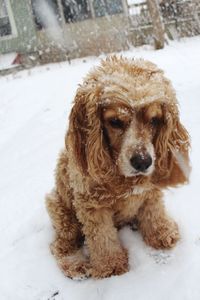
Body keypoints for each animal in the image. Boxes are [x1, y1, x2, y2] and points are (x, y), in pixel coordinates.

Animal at [45, 55, 191, 278]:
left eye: (154, 120)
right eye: (115, 121)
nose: (143, 161)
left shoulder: (150, 191)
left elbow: (153, 211)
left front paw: (161, 232)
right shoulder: (91, 205)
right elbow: (102, 238)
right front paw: (110, 265)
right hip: (61, 211)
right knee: (61, 245)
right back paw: (75, 265)